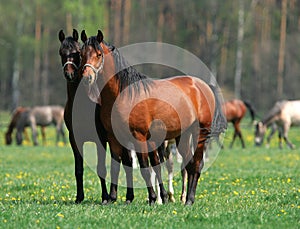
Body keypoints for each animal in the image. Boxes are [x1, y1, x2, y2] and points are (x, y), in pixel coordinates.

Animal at [57, 29, 135, 204]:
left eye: (76, 53)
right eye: (61, 53)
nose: (70, 74)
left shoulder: (100, 139)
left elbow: (101, 169)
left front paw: (105, 197)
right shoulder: (75, 139)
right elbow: (78, 169)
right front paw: (79, 197)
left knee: (127, 162)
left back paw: (128, 196)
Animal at [79, 30, 225, 206]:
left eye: (99, 54)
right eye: (81, 54)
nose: (87, 77)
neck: (124, 94)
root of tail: (202, 85)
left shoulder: (139, 137)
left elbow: (145, 168)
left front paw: (153, 198)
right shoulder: (114, 137)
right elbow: (116, 166)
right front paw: (112, 198)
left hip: (200, 134)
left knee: (196, 164)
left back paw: (190, 199)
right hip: (183, 136)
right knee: (188, 164)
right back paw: (186, 199)